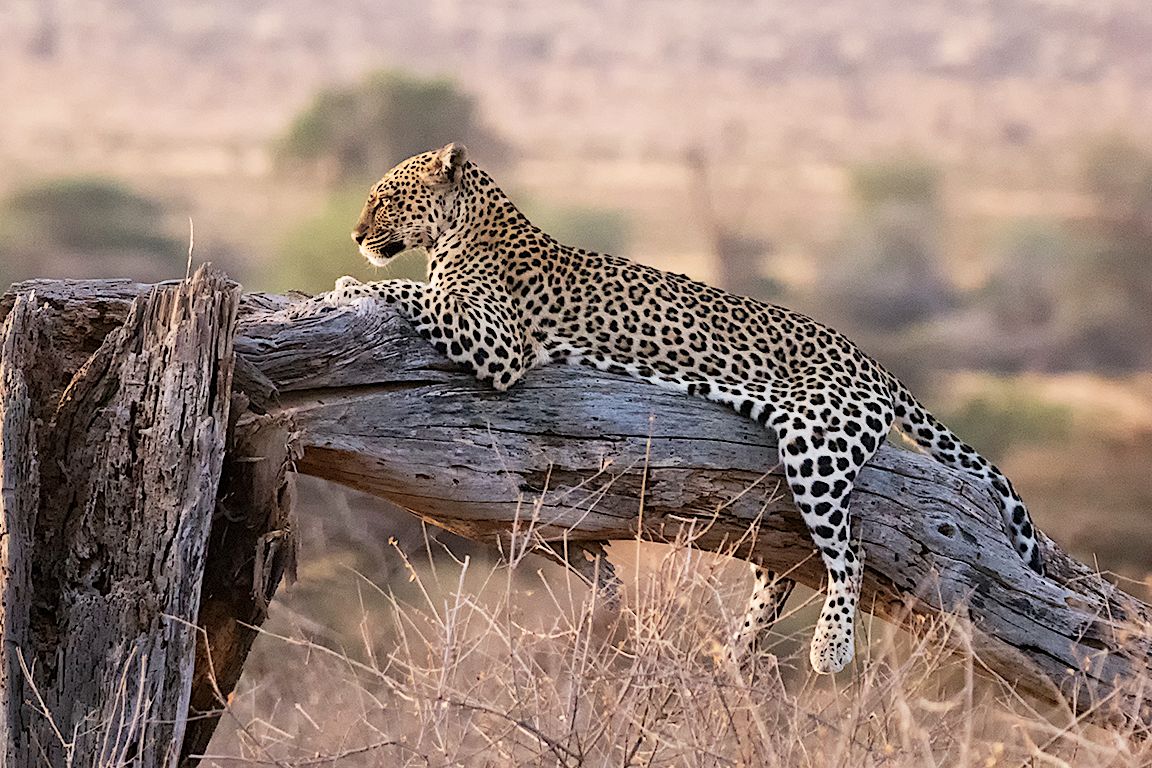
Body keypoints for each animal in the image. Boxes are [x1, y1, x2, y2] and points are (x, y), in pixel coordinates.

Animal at [321, 143, 1045, 674]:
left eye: (383, 198)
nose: (353, 235)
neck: (465, 228)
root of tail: (876, 365)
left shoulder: (497, 342)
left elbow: (409, 289)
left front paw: (353, 284)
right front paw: (352, 281)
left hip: (816, 441)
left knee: (849, 554)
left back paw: (829, 648)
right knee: (782, 572)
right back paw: (733, 657)